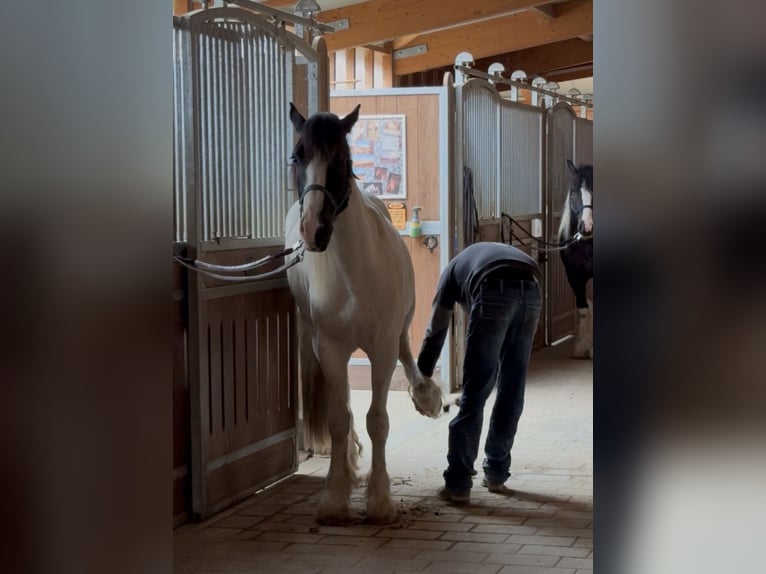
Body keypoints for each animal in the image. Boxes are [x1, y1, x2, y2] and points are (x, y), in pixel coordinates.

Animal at [284, 103, 443, 525]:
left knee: (407, 349)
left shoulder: (381, 349)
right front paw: (335, 498)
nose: (314, 229)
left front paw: (380, 501)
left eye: (341, 157)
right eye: (297, 156)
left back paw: (426, 396)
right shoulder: (331, 349)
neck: (352, 275)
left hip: (399, 329)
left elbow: (379, 420)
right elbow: (340, 419)